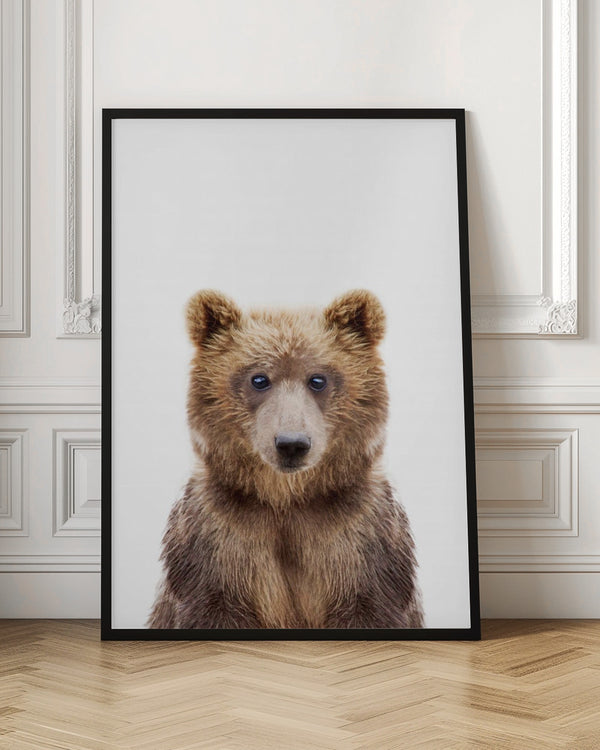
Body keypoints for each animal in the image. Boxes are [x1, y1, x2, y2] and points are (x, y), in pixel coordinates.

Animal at [148, 289, 424, 630]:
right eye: (259, 379)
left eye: (318, 379)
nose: (292, 444)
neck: (287, 499)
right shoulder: (218, 539)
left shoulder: (360, 539)